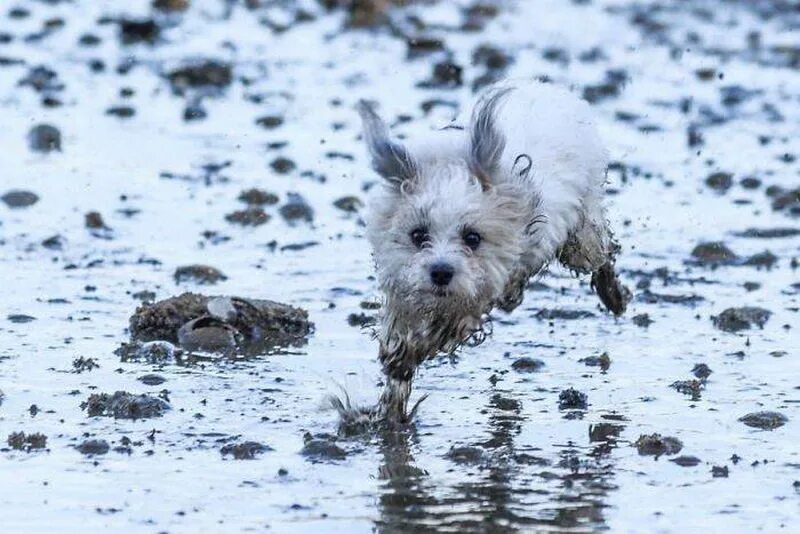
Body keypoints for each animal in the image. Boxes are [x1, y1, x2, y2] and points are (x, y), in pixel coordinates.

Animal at [358, 80, 632, 422]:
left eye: (473, 238)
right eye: (418, 235)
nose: (441, 272)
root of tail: (544, 87)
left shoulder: (483, 287)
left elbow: (452, 323)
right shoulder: (401, 285)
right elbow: (398, 339)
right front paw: (395, 380)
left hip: (582, 237)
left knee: (601, 254)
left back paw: (614, 295)